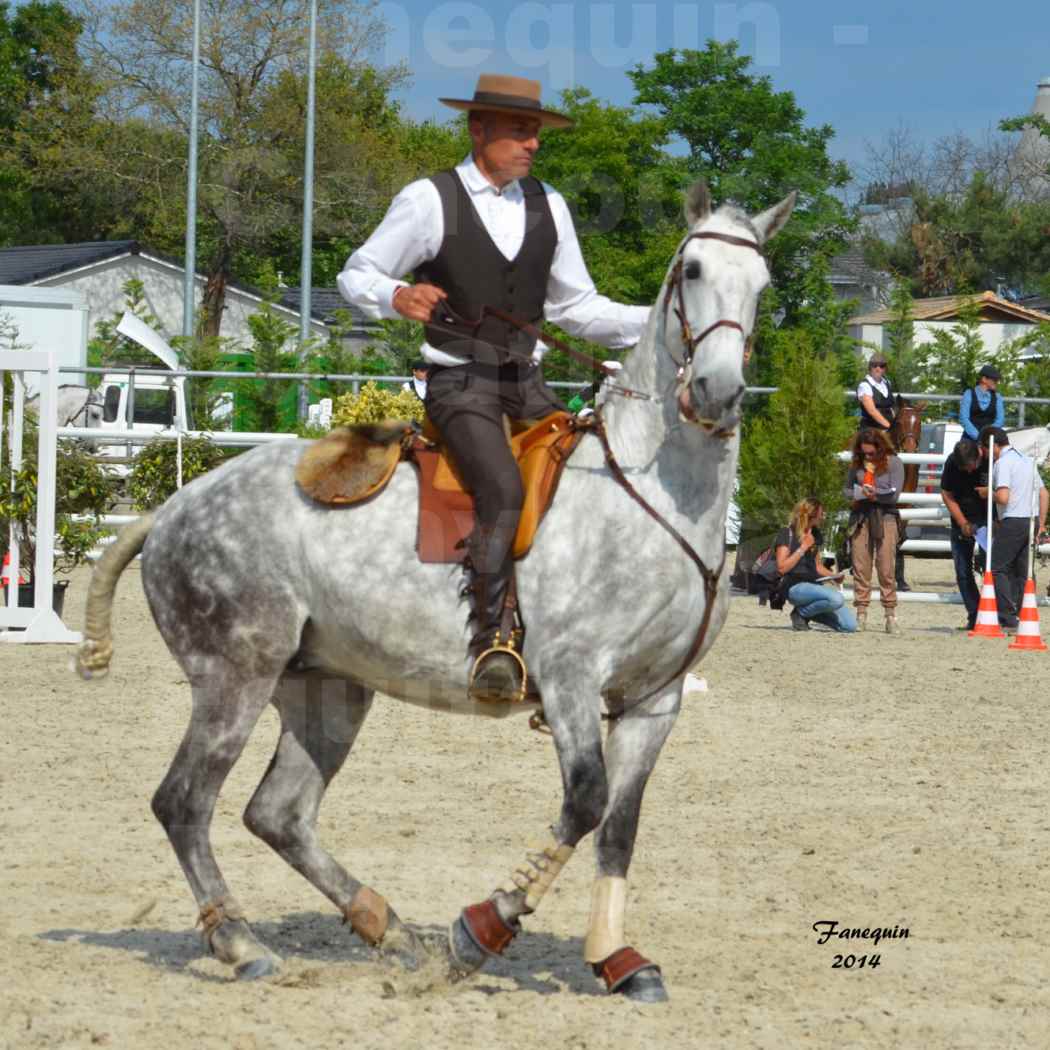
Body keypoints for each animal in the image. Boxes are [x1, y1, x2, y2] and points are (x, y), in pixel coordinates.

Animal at [76, 184, 793, 1003]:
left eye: (762, 285)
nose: (717, 392)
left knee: (279, 813)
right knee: (185, 802)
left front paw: (617, 960)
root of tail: (170, 510)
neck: (647, 493)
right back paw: (242, 943)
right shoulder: (571, 680)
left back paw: (388, 930)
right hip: (235, 677)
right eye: (692, 270)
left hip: (327, 690)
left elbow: (619, 824)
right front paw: (479, 931)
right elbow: (584, 802)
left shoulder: (654, 699)